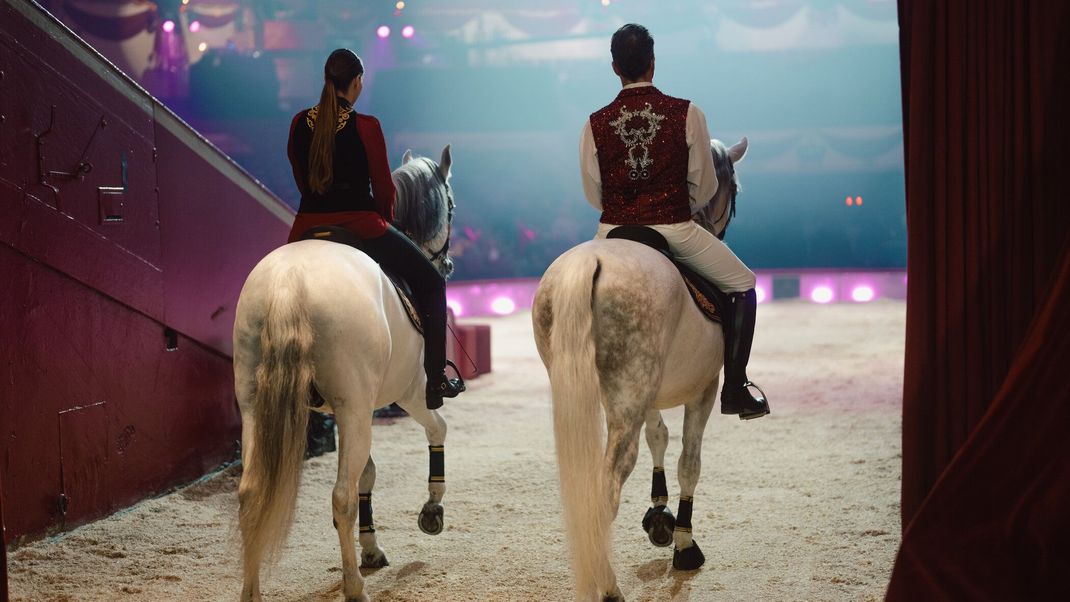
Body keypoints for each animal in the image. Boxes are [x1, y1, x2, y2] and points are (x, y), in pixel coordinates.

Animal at [234, 146, 455, 602]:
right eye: (452, 205)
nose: (448, 265)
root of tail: (289, 282)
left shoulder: (349, 410)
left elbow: (366, 472)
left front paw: (371, 548)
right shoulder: (408, 393)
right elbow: (437, 429)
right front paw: (432, 509)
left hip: (254, 406)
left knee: (250, 494)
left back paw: (253, 591)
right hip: (361, 405)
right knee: (340, 498)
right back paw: (354, 587)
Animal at [535, 137, 753, 602]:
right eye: (734, 189)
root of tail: (591, 262)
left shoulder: (648, 396)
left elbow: (659, 437)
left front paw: (659, 517)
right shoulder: (705, 389)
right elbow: (690, 461)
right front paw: (684, 544)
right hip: (630, 400)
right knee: (606, 489)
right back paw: (608, 588)